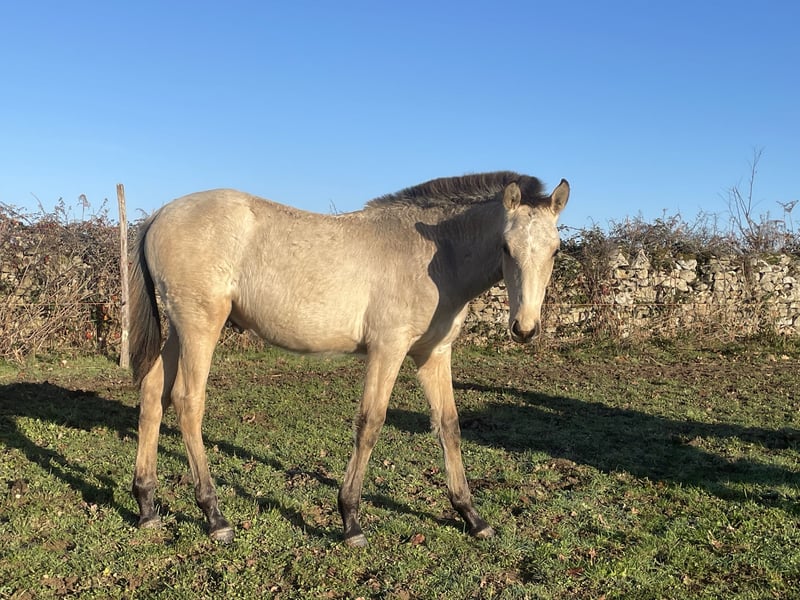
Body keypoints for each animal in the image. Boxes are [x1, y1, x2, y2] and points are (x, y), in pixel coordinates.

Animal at [128, 171, 569, 547]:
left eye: (555, 250)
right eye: (506, 247)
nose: (525, 328)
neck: (434, 254)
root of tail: (159, 214)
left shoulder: (433, 355)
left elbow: (449, 426)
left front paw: (471, 516)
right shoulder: (387, 350)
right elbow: (370, 423)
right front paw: (351, 520)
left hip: (179, 329)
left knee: (153, 394)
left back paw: (146, 505)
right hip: (200, 326)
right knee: (188, 402)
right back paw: (214, 515)